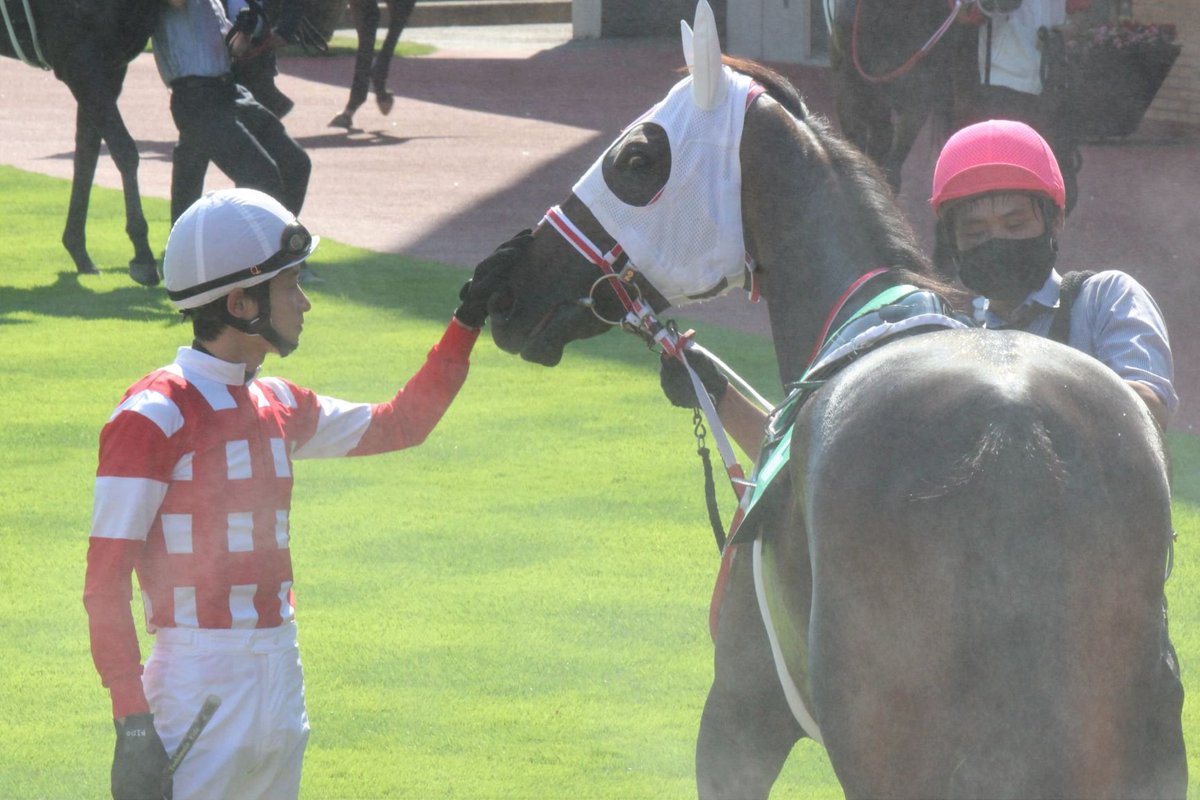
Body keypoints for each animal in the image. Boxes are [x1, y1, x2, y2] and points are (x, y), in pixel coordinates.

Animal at [1, 0, 160, 285]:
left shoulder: (109, 64)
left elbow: (87, 154)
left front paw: (78, 251)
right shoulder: (79, 61)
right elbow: (124, 150)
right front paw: (143, 256)